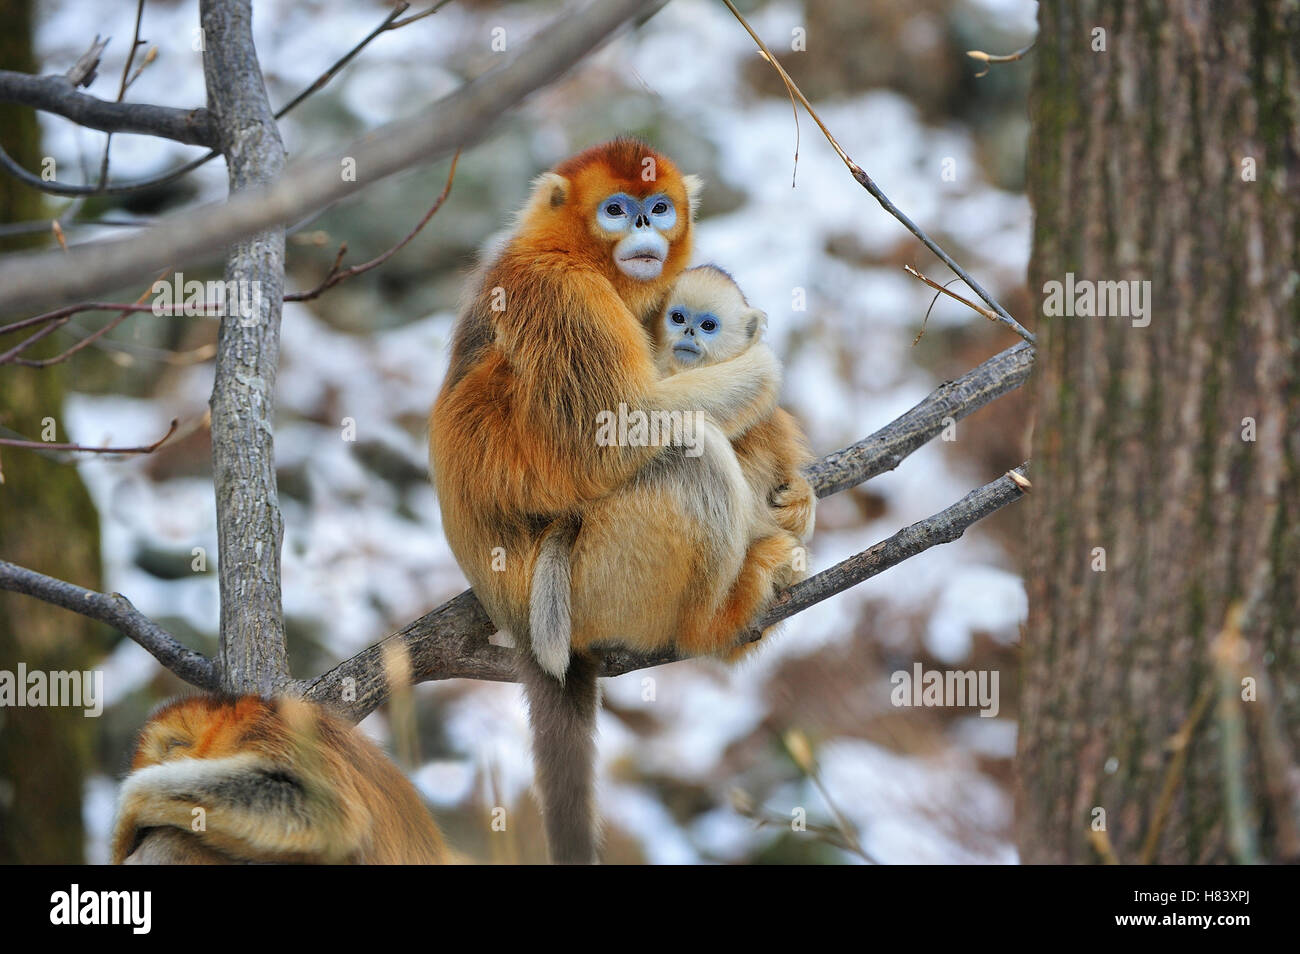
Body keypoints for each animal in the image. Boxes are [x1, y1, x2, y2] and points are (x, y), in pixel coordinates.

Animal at [428, 138, 802, 863]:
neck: (572, 251)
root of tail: (515, 618)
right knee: (691, 453)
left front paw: (798, 484)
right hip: (589, 590)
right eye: (616, 210)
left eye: (658, 208)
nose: (643, 231)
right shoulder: (561, 294)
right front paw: (765, 375)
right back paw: (716, 620)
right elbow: (612, 431)